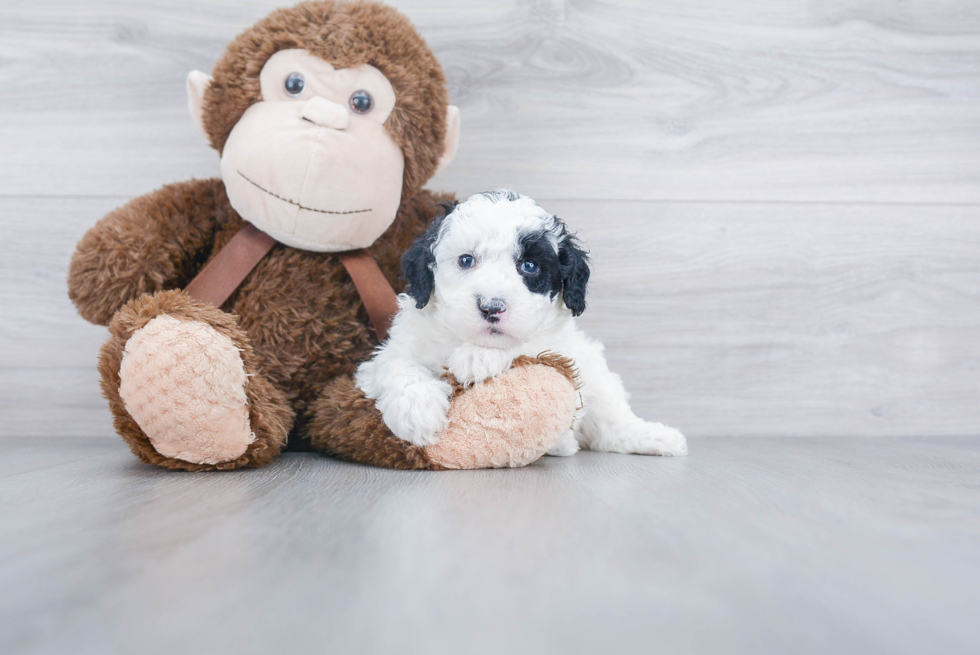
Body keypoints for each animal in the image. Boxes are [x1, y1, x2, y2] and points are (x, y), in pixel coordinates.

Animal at [354, 190, 688, 456]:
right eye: (465, 260)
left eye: (529, 265)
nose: (492, 307)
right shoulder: (396, 348)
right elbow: (398, 365)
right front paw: (416, 413)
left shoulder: (560, 346)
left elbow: (529, 345)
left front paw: (478, 357)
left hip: (597, 376)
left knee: (611, 422)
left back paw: (654, 437)